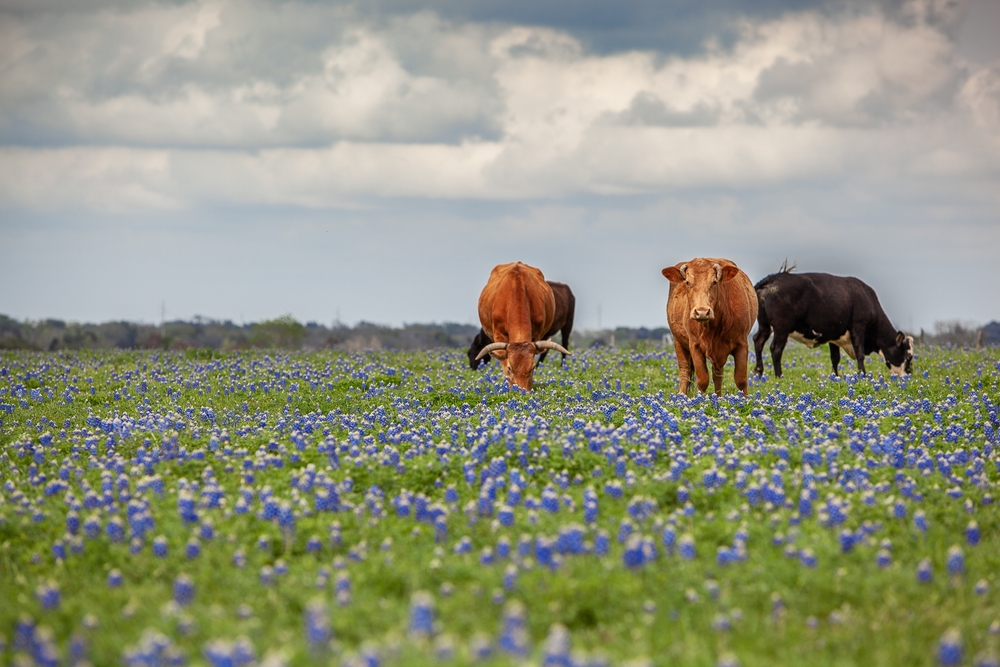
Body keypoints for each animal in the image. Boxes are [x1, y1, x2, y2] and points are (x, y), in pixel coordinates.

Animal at [475, 262, 571, 391]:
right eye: (510, 368)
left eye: (532, 367)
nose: (522, 392)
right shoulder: (499, 335)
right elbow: (504, 361)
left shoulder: (536, 334)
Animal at [662, 258, 758, 396]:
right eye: (687, 282)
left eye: (714, 282)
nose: (702, 312)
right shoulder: (694, 345)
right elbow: (702, 380)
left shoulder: (742, 343)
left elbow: (741, 380)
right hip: (678, 341)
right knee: (685, 371)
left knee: (717, 374)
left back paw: (718, 397)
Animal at [752, 266, 913, 378]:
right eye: (908, 356)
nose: (909, 375)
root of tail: (772, 279)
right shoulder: (858, 326)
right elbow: (860, 353)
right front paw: (863, 374)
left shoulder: (834, 335)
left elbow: (835, 358)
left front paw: (836, 377)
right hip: (782, 327)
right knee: (776, 349)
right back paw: (779, 376)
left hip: (765, 325)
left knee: (758, 341)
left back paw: (759, 372)